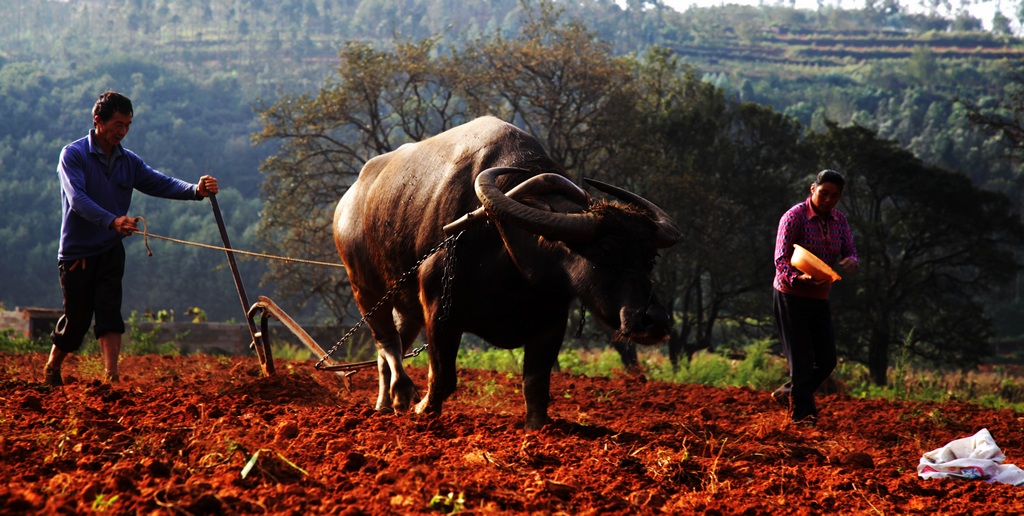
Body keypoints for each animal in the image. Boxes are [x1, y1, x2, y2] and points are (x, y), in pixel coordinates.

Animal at [333, 116, 679, 432]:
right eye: (606, 250)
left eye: (650, 257)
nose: (656, 320)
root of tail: (348, 202)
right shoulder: (441, 313)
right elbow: (442, 377)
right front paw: (423, 410)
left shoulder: (551, 323)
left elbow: (536, 384)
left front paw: (536, 429)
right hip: (364, 289)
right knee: (387, 342)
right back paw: (401, 395)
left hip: (406, 306)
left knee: (389, 349)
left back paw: (383, 403)